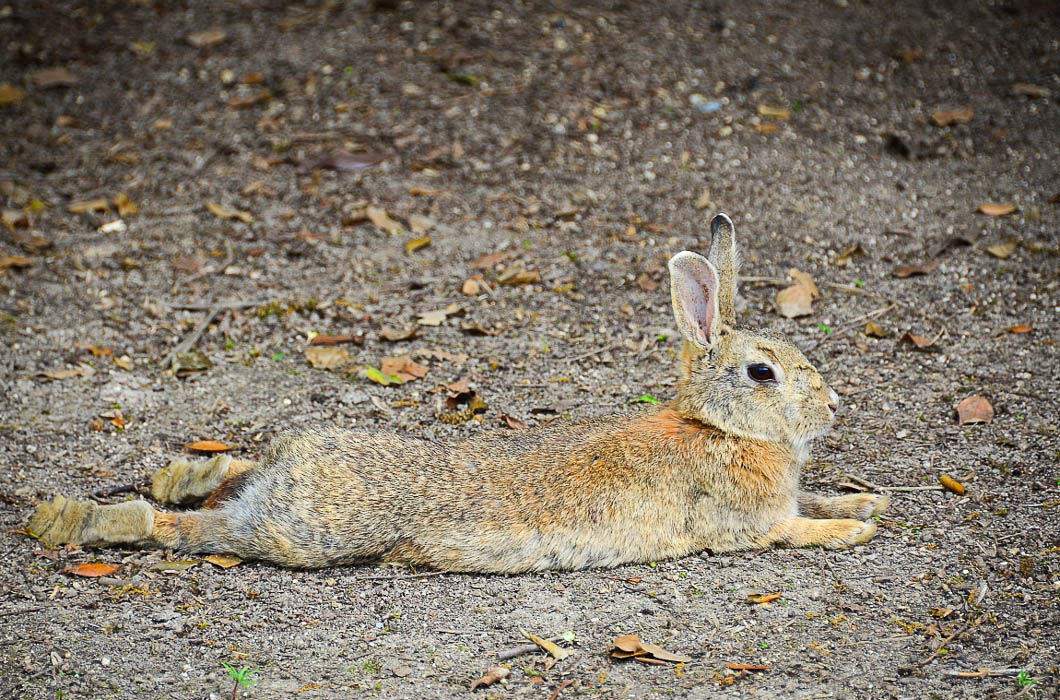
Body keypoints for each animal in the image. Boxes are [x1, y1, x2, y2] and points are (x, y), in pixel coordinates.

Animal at [26, 214, 886, 572]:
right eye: (763, 373)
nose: (834, 408)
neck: (718, 429)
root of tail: (287, 478)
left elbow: (819, 499)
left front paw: (865, 502)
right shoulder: (745, 525)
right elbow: (794, 530)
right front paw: (855, 532)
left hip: (284, 474)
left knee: (218, 476)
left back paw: (182, 474)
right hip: (300, 537)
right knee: (179, 528)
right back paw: (75, 521)